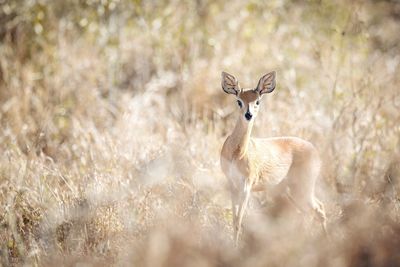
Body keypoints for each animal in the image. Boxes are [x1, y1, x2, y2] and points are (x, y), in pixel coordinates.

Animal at [220, 70, 326, 245]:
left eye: (257, 101)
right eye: (239, 101)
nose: (248, 115)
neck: (238, 153)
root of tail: (315, 151)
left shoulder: (246, 186)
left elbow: (239, 220)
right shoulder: (232, 184)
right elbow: (235, 219)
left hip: (302, 188)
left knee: (319, 210)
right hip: (291, 191)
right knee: (311, 212)